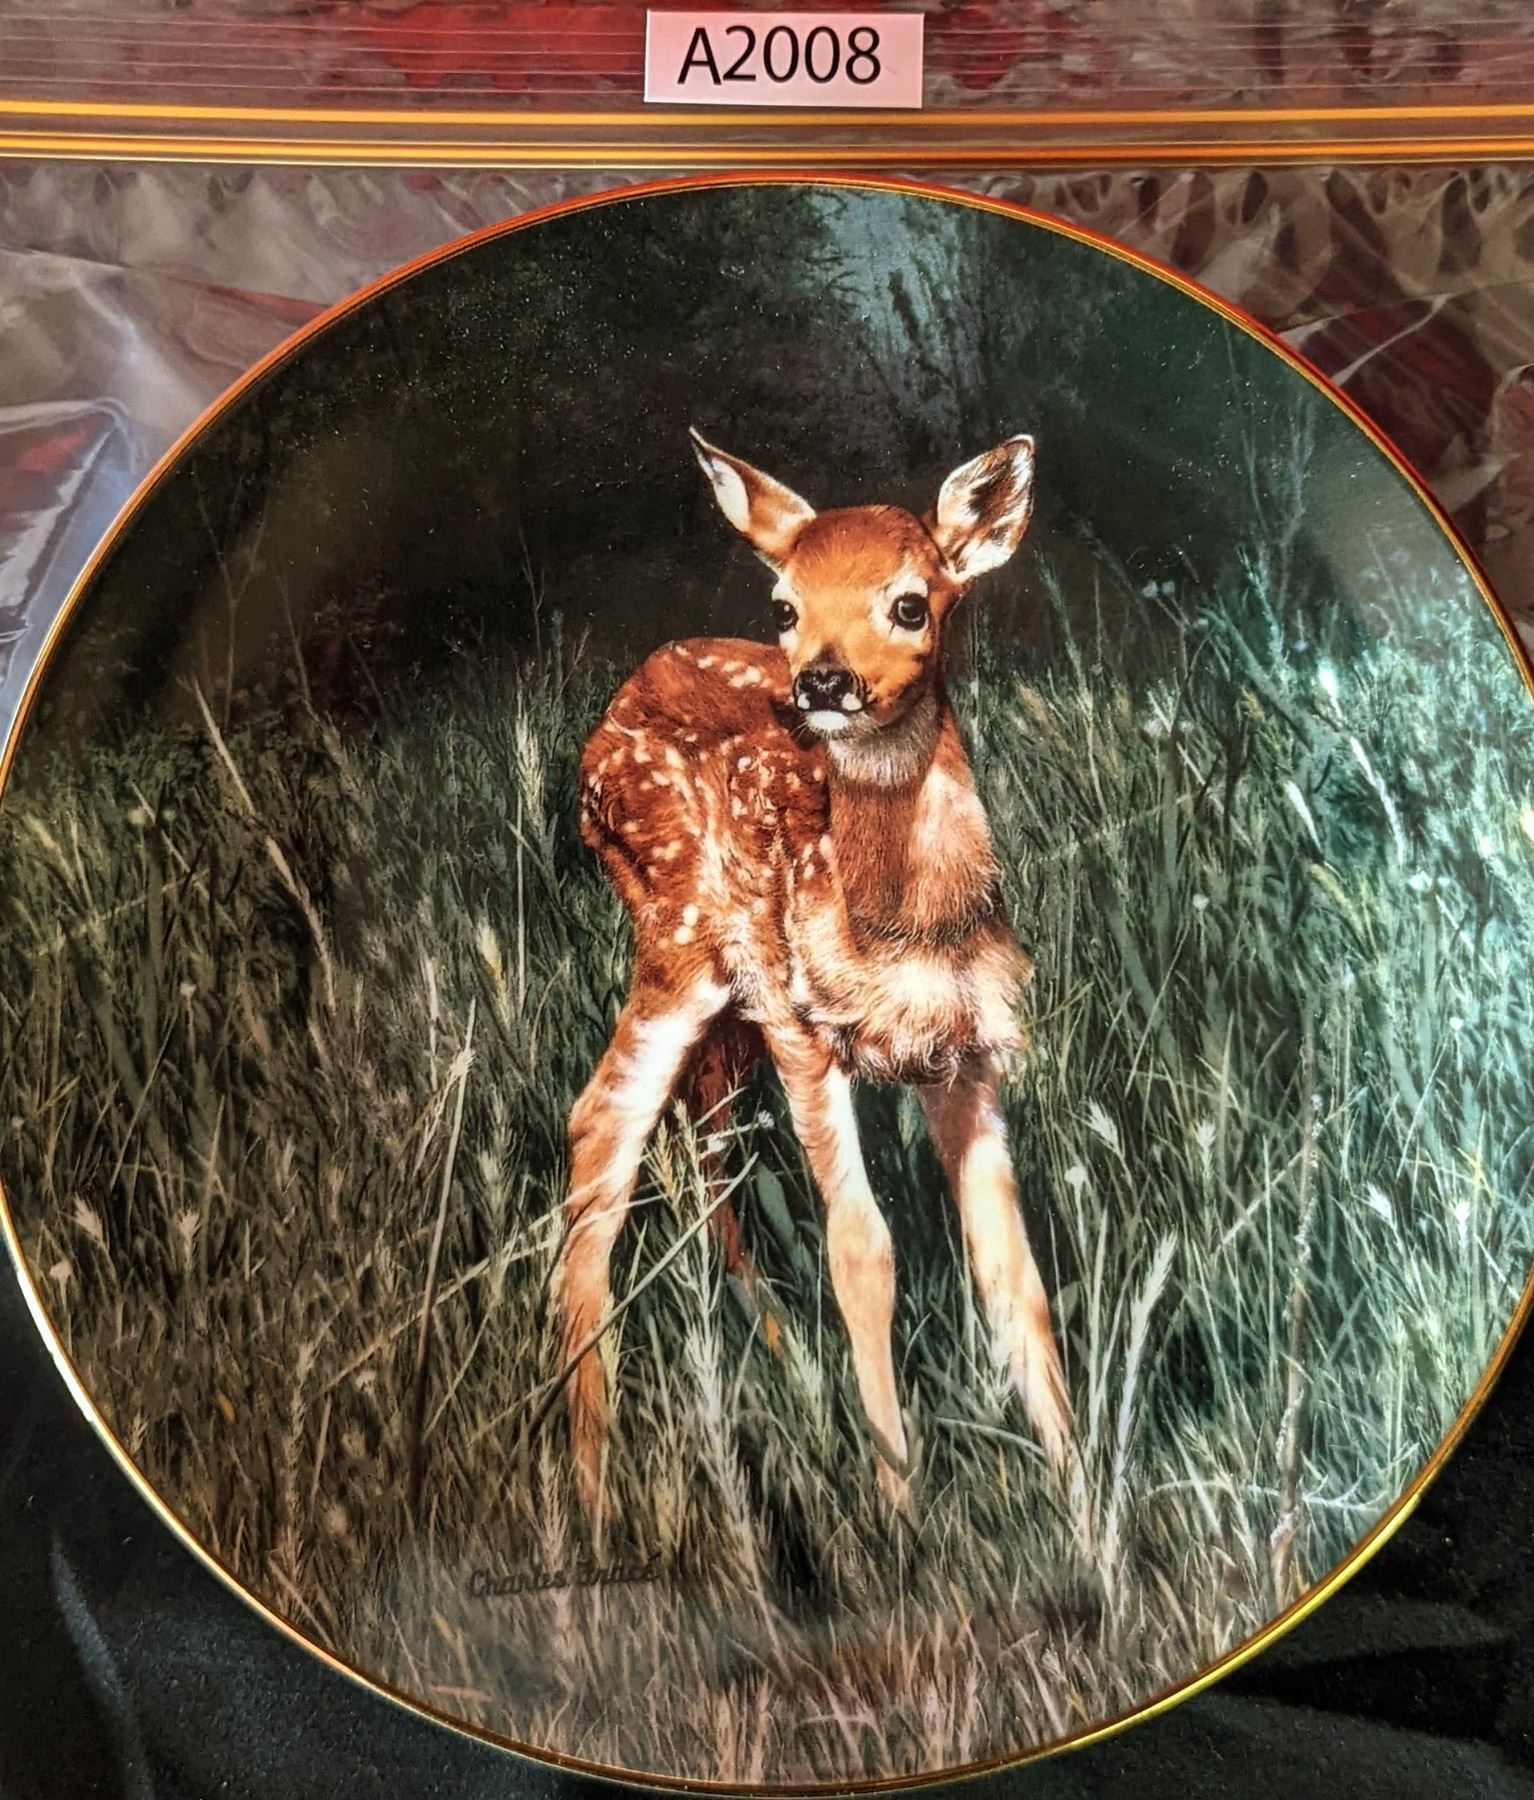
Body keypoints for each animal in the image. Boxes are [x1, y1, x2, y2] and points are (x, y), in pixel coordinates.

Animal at [554, 428, 1074, 1523]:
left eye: (911, 603)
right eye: (786, 606)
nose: (822, 681)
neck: (902, 927)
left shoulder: (969, 1055)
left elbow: (1010, 1271)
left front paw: (1084, 1502)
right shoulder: (804, 1028)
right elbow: (861, 1251)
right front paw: (899, 1508)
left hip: (727, 1012)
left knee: (700, 1133)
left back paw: (774, 1351)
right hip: (682, 945)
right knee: (601, 1130)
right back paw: (590, 1481)